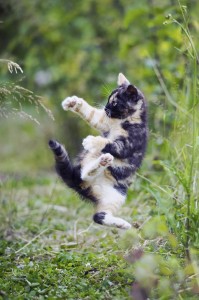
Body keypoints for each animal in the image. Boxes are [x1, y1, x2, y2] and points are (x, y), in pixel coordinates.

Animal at [49, 74, 147, 229]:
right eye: (108, 99)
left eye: (114, 103)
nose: (106, 108)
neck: (125, 121)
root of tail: (85, 186)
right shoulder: (104, 122)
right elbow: (93, 114)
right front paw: (73, 102)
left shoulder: (130, 143)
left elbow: (110, 143)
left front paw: (92, 141)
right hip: (91, 162)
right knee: (85, 176)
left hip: (116, 195)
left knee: (98, 215)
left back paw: (122, 224)